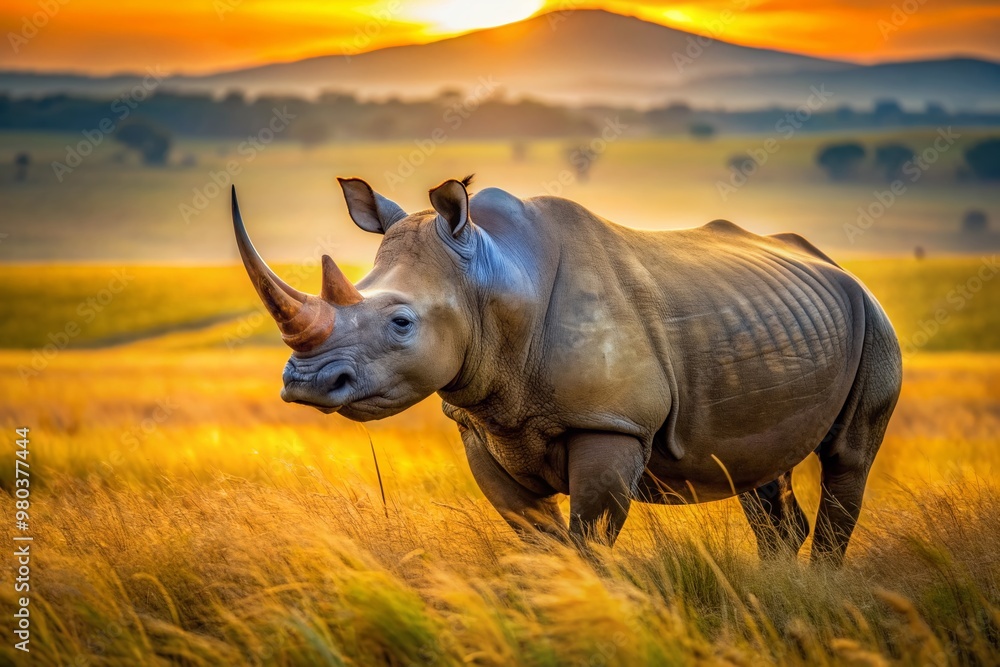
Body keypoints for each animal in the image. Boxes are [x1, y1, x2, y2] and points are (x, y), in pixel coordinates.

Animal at [231, 176, 902, 565]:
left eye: (402, 323)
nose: (306, 383)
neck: (493, 275)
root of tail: (836, 265)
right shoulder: (483, 428)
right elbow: (542, 541)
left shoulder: (611, 423)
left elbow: (588, 540)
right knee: (761, 470)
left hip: (873, 318)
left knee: (848, 456)